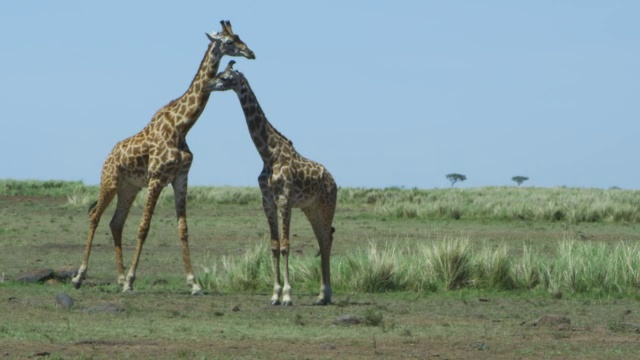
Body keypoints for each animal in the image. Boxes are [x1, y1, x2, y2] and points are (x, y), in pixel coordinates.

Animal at [72, 21, 255, 294]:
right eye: (229, 41)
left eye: (239, 36)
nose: (250, 53)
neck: (182, 127)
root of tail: (109, 155)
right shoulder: (157, 178)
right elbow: (144, 227)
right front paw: (131, 281)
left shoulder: (180, 178)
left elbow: (183, 229)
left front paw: (194, 283)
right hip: (110, 181)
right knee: (95, 216)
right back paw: (80, 276)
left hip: (129, 188)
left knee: (116, 222)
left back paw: (118, 277)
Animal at [206, 60, 338, 306]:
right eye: (219, 73)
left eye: (226, 77)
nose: (207, 85)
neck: (268, 154)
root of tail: (333, 180)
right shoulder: (267, 201)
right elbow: (275, 246)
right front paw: (275, 294)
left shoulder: (284, 200)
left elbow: (286, 246)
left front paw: (287, 295)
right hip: (310, 208)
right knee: (323, 239)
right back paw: (321, 296)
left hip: (327, 205)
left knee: (326, 240)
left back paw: (325, 294)